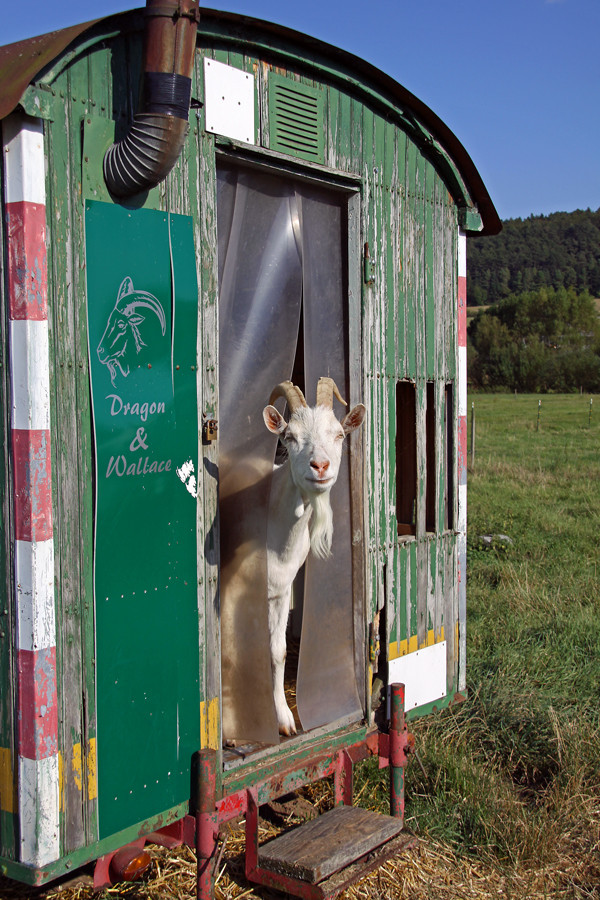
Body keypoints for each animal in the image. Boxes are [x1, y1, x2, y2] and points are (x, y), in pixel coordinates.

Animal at [264, 376, 366, 736]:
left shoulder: (281, 590)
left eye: (338, 434)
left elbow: (278, 651)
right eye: (290, 436)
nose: (320, 466)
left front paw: (284, 720)